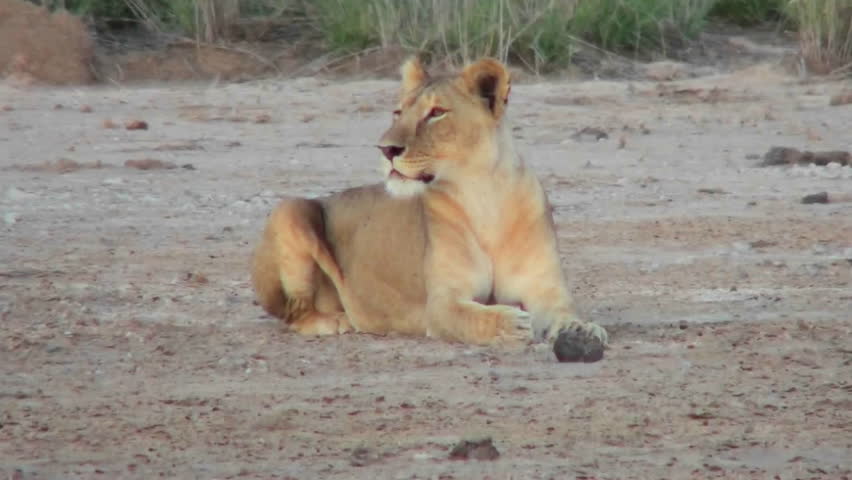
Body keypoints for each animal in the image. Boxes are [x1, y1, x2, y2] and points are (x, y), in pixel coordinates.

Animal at [251, 57, 608, 347]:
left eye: (436, 113)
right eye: (397, 112)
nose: (386, 149)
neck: (483, 193)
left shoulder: (544, 289)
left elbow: (565, 312)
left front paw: (582, 330)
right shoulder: (441, 304)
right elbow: (474, 317)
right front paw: (511, 323)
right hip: (289, 209)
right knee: (293, 313)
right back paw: (336, 321)